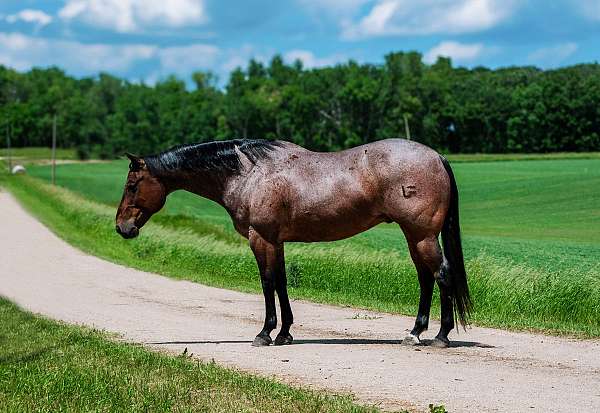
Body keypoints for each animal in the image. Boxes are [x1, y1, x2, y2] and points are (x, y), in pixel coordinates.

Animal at [115, 138, 472, 348]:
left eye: (132, 185)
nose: (122, 228)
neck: (249, 173)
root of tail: (437, 156)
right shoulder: (277, 241)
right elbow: (282, 282)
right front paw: (285, 333)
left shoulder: (260, 238)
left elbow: (267, 282)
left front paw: (265, 333)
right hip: (414, 237)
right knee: (426, 279)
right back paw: (414, 333)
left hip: (422, 236)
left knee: (441, 275)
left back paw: (440, 336)